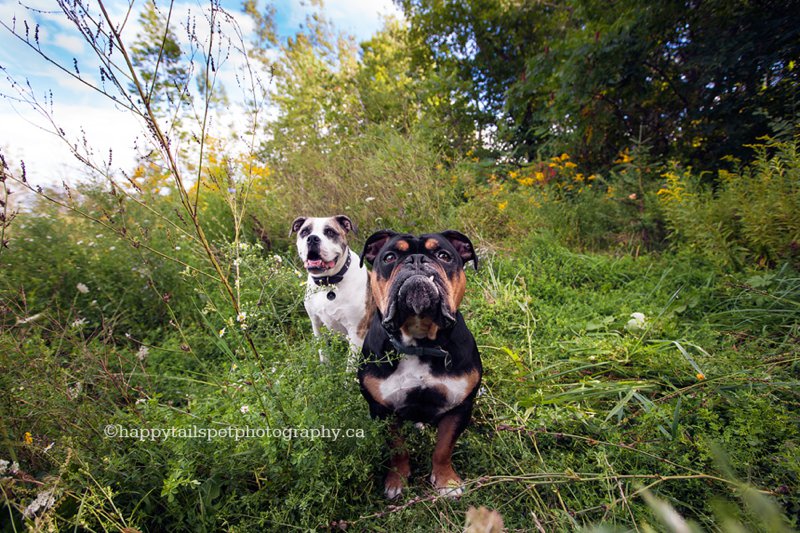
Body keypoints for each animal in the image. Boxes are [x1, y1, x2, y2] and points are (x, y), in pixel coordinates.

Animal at [292, 214, 370, 364]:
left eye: (330, 232)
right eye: (305, 232)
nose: (312, 238)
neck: (327, 283)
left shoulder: (356, 332)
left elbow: (350, 364)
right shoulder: (316, 324)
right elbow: (323, 352)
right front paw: (325, 368)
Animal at [358, 230, 482, 498]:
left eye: (444, 255)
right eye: (390, 257)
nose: (416, 260)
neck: (420, 343)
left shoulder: (459, 407)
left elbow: (444, 448)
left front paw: (446, 481)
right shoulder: (382, 410)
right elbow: (397, 448)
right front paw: (396, 480)